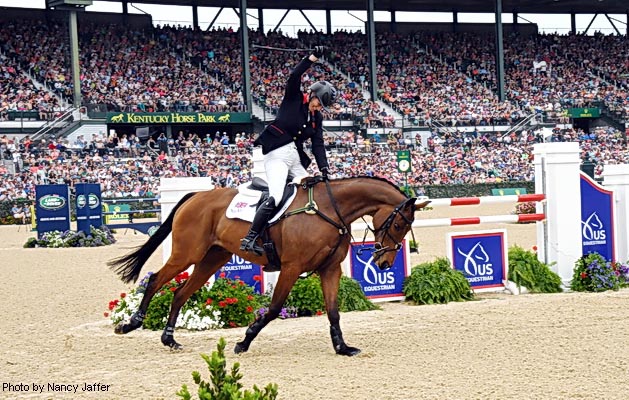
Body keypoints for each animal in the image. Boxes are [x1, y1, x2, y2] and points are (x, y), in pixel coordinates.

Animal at [108, 177, 424, 354]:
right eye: (398, 224)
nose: (384, 262)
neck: (330, 210)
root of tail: (196, 195)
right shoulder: (292, 267)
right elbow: (273, 309)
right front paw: (243, 342)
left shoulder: (330, 269)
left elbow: (334, 312)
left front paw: (342, 347)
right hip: (187, 254)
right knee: (155, 280)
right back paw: (131, 324)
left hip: (212, 258)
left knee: (180, 292)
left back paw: (169, 339)